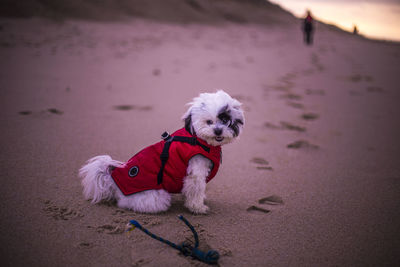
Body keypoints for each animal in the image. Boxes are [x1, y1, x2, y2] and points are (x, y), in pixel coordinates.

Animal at [79, 91, 244, 215]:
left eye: (226, 121)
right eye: (209, 122)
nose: (218, 130)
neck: (198, 140)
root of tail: (112, 181)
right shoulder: (195, 171)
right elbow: (196, 187)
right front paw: (197, 207)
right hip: (158, 196)